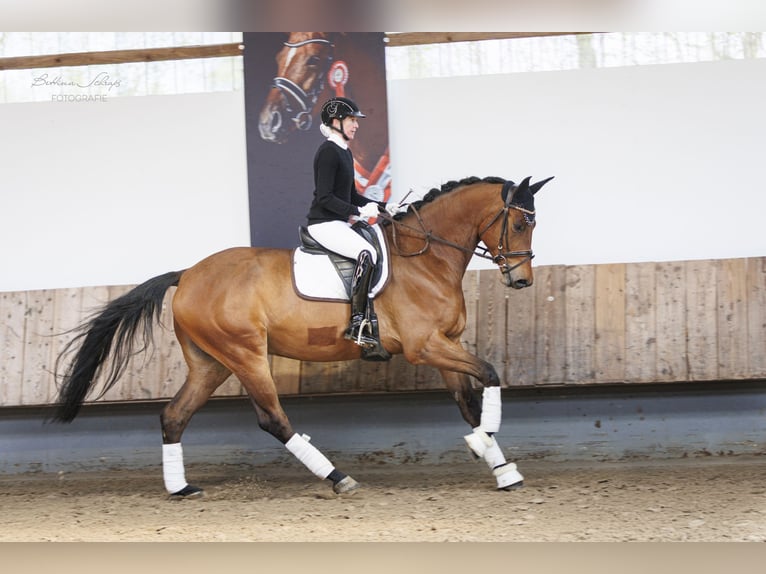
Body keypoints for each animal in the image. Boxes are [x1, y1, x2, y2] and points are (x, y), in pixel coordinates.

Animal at [54, 176, 556, 500]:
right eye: (519, 224)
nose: (521, 280)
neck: (426, 257)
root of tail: (188, 273)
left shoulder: (444, 344)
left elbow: (469, 402)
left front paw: (502, 468)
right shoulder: (425, 346)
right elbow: (489, 376)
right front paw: (482, 445)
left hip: (211, 363)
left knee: (174, 416)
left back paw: (181, 488)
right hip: (246, 354)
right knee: (273, 419)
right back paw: (337, 478)